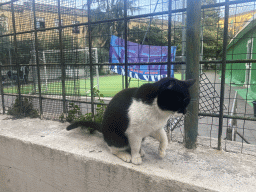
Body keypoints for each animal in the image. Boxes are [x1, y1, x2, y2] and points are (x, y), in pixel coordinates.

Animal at [67, 77, 195, 164]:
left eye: (187, 101)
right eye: (182, 101)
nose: (185, 112)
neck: (158, 112)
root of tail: (103, 128)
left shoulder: (154, 128)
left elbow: (164, 138)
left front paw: (162, 151)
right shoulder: (134, 132)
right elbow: (134, 146)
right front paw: (135, 157)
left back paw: (141, 151)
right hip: (118, 138)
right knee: (113, 149)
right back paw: (125, 154)